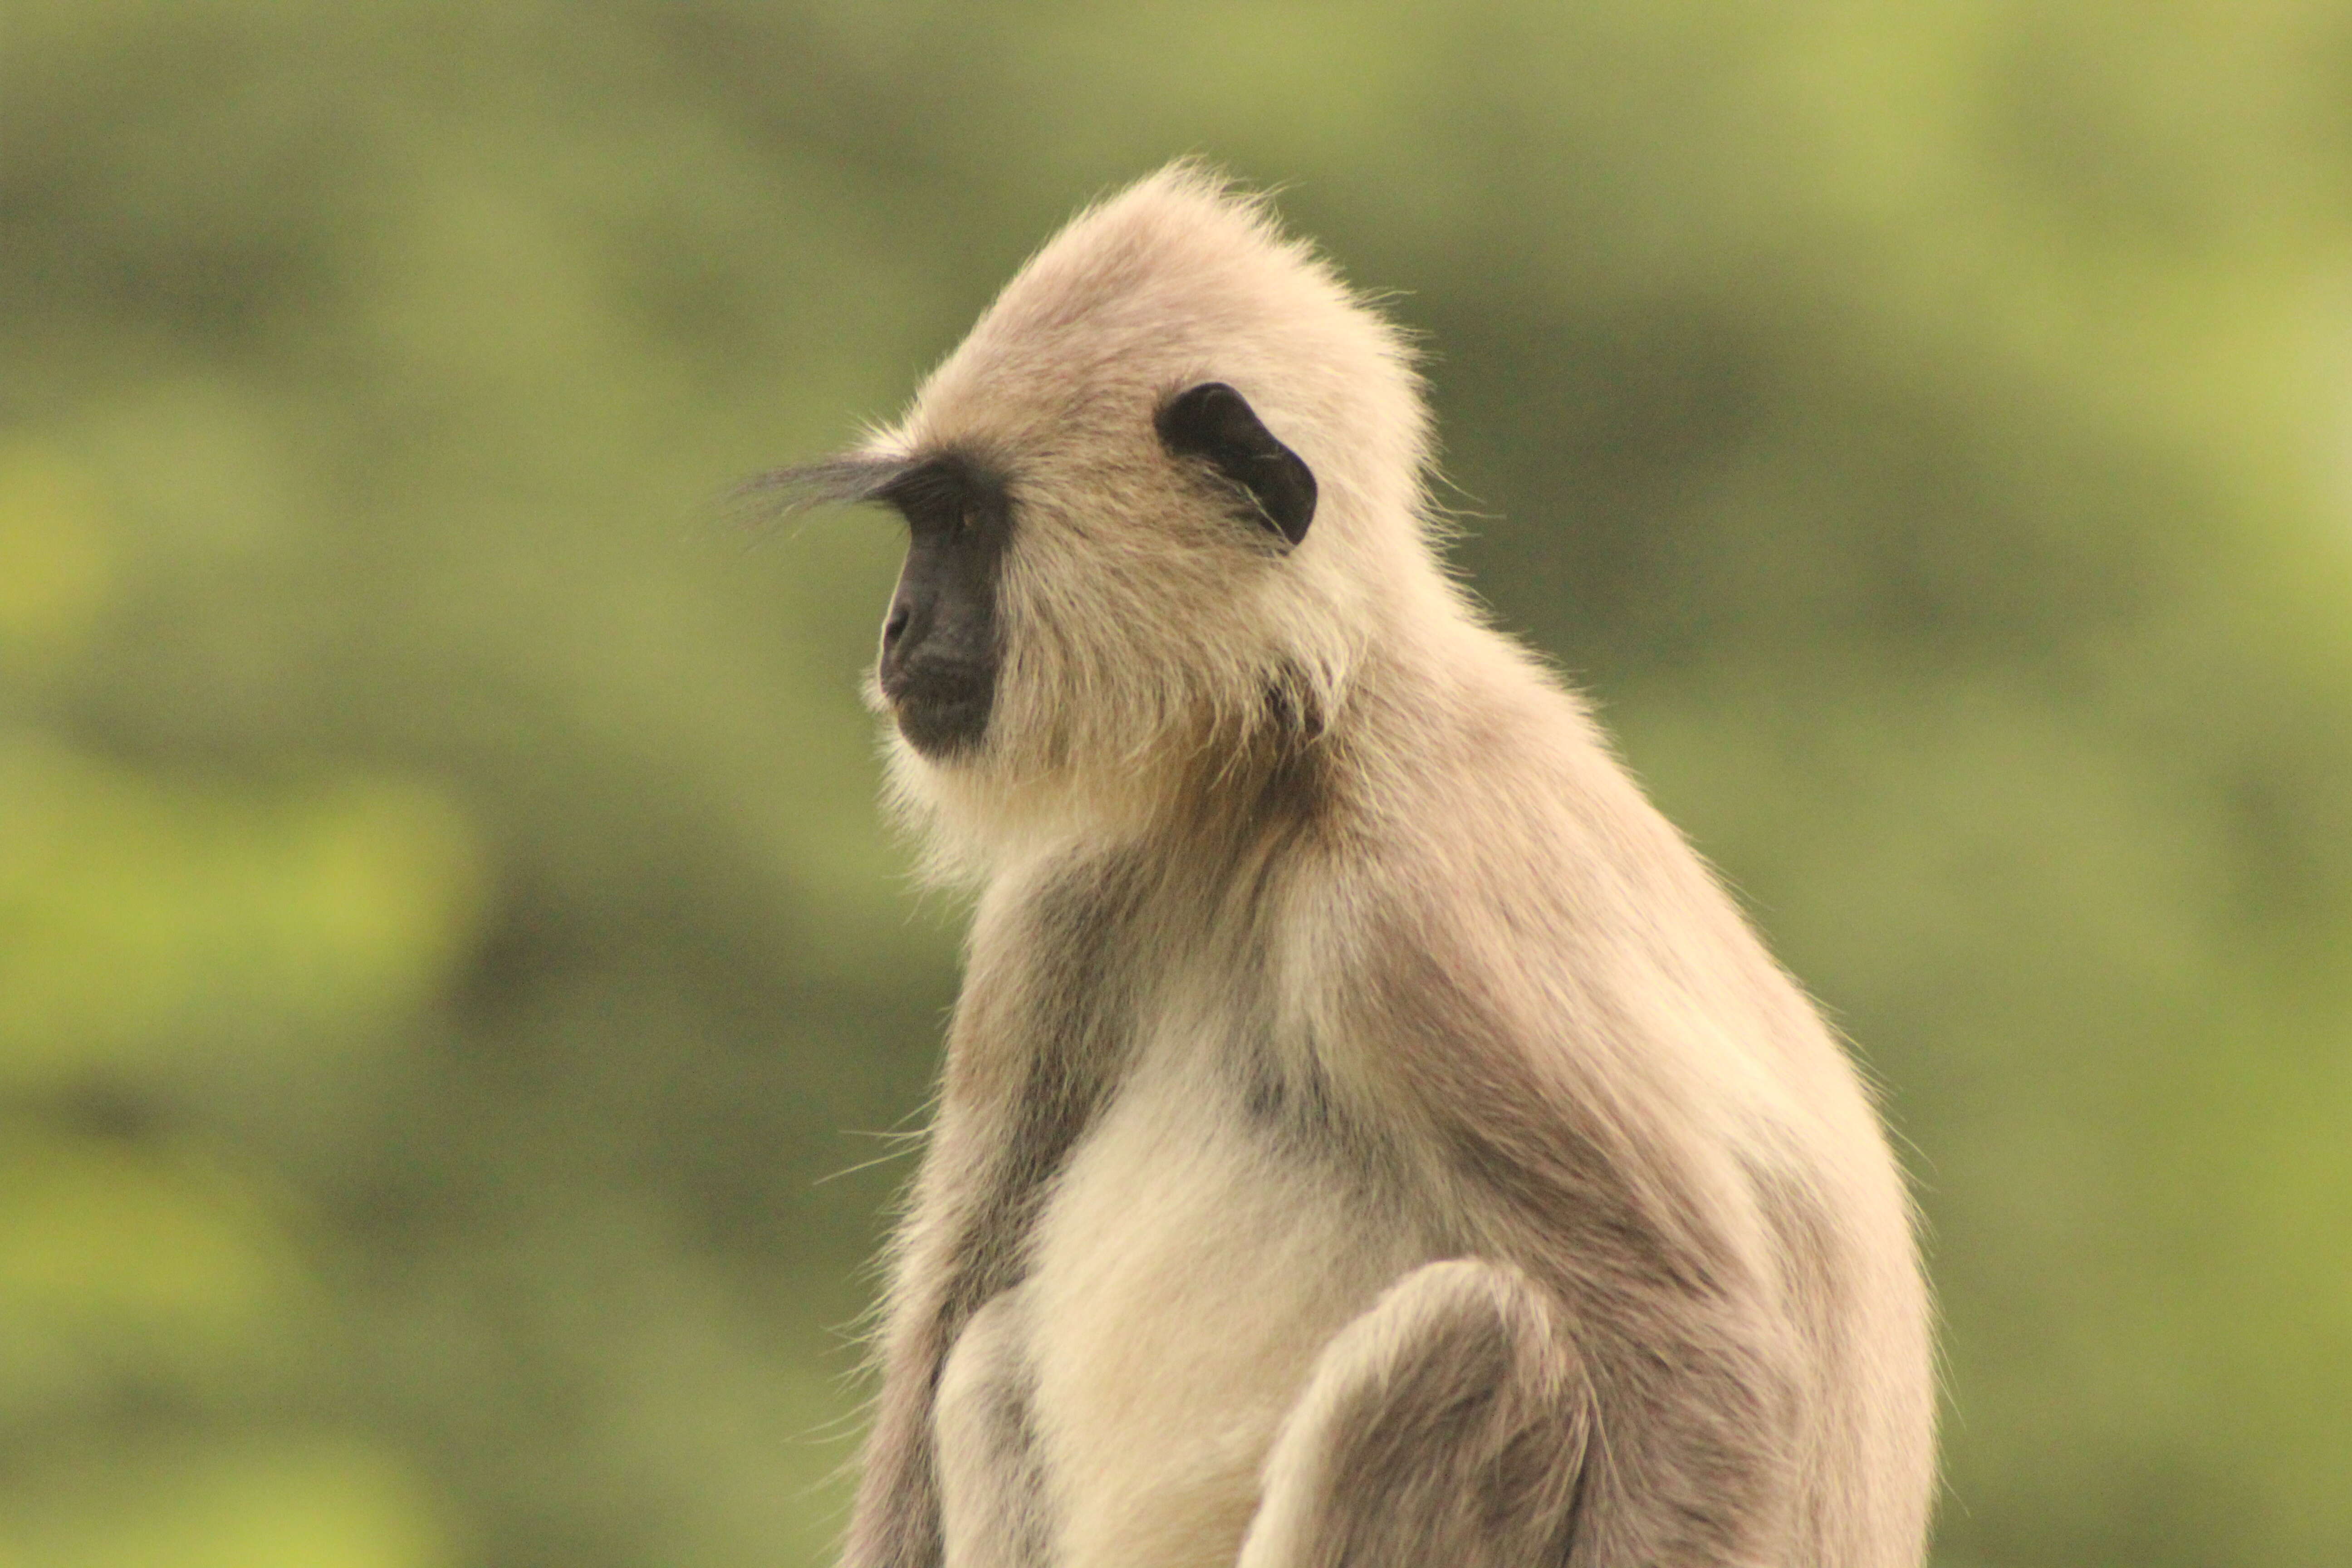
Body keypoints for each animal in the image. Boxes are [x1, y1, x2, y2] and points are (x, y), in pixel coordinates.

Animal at [762, 169, 1938, 1568]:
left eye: (961, 523)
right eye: (923, 523)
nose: (897, 627)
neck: (1282, 773)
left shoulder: (1414, 914)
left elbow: (1710, 1358)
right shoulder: (1068, 896)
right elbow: (958, 1308)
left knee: (1475, 1337)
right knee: (988, 1352)